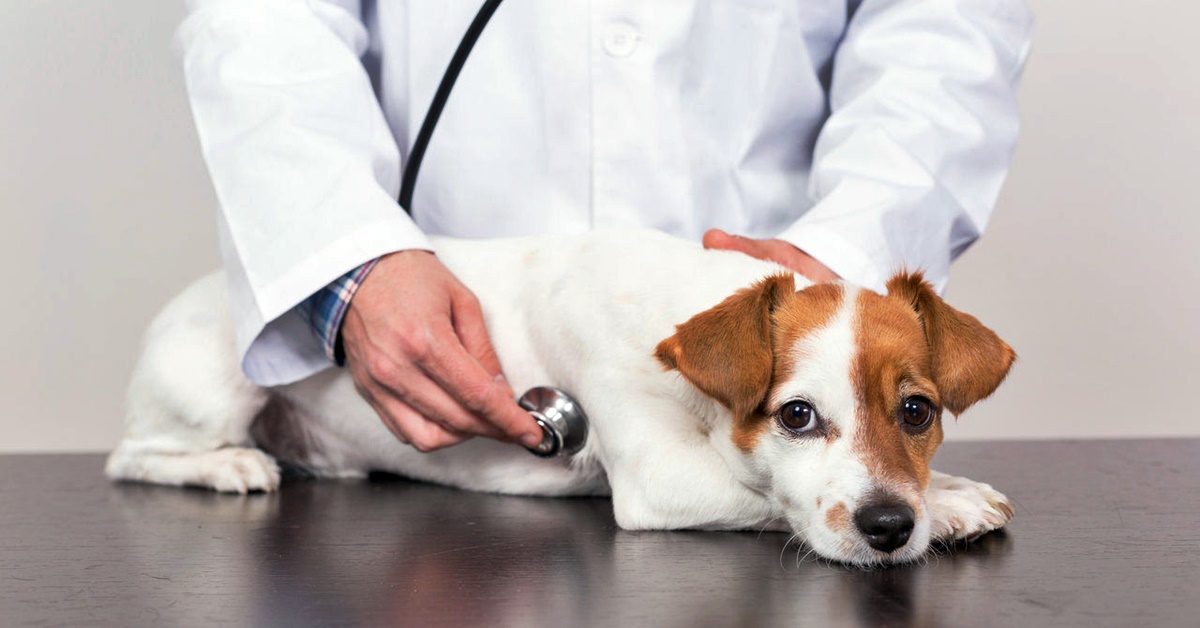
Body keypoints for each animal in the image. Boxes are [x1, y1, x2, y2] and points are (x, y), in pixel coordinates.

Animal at [108, 228, 1017, 566]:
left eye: (917, 412)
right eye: (797, 415)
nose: (890, 526)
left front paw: (947, 493)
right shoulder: (661, 482)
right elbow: (767, 497)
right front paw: (948, 505)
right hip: (211, 388)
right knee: (133, 457)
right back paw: (226, 466)